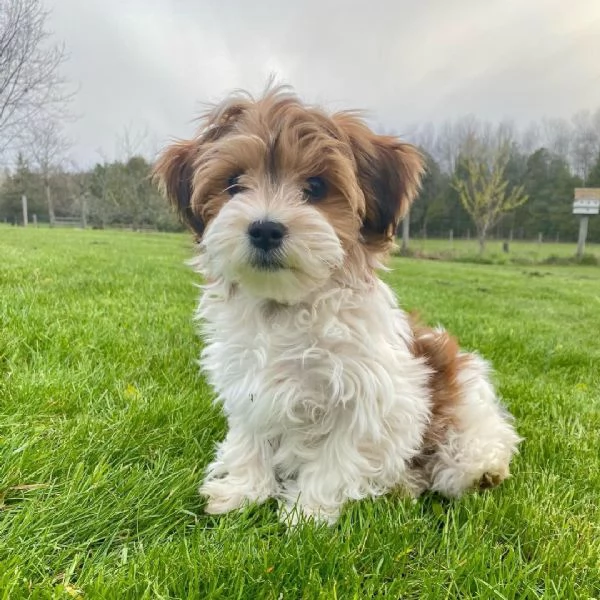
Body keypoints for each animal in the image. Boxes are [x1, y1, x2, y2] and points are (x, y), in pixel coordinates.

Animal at [154, 85, 520, 524]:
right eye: (234, 183)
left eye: (315, 187)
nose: (265, 228)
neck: (287, 306)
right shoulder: (248, 386)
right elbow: (250, 438)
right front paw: (242, 490)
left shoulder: (373, 395)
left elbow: (339, 454)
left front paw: (306, 512)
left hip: (463, 387)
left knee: (478, 437)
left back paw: (475, 470)